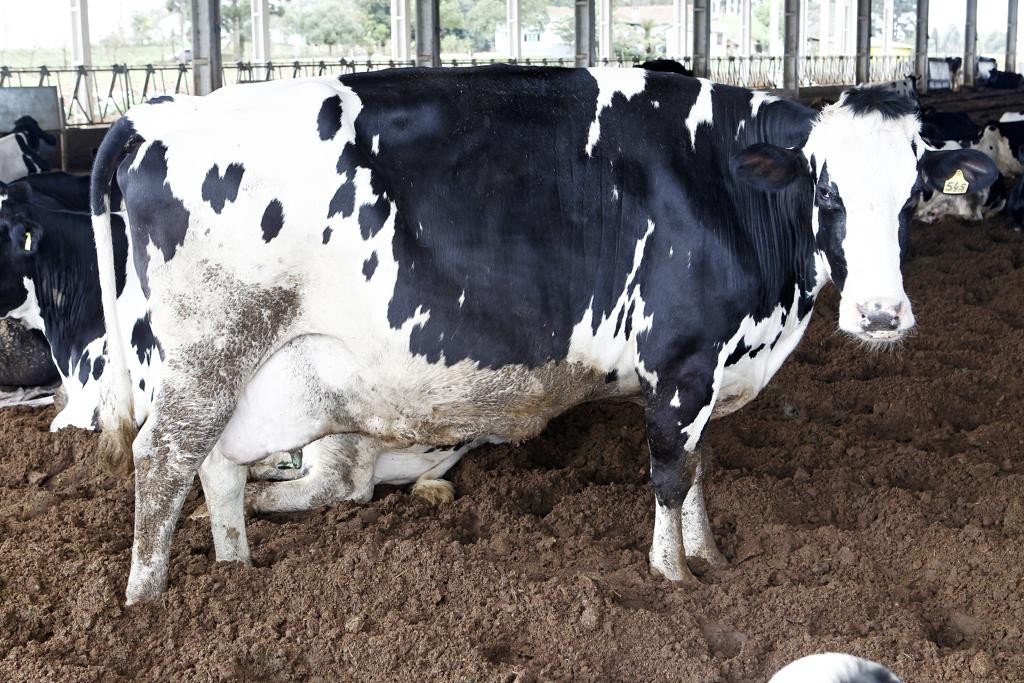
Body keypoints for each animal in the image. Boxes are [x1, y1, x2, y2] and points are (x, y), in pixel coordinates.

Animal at [88, 66, 997, 604]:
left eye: (914, 191)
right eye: (827, 190)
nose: (880, 314)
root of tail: (156, 116)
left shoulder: (710, 367)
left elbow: (702, 470)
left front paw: (710, 556)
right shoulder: (680, 362)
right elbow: (671, 472)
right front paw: (671, 574)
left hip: (249, 370)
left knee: (217, 468)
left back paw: (236, 569)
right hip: (206, 354)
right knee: (164, 463)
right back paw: (148, 602)